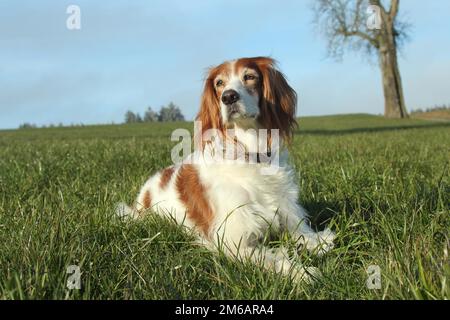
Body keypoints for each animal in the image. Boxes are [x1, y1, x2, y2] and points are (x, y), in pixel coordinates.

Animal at [118, 57, 336, 282]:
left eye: (249, 76)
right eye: (219, 83)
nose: (228, 97)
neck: (252, 155)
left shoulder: (286, 210)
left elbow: (301, 231)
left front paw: (319, 241)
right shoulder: (233, 242)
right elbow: (274, 258)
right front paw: (302, 273)